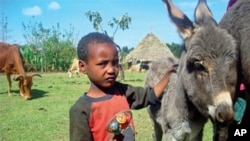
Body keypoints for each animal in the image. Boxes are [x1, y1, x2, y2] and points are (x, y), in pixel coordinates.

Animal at [146, 0, 239, 140]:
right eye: (198, 65)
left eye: (230, 64)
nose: (226, 115)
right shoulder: (171, 133)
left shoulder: (196, 133)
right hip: (154, 120)